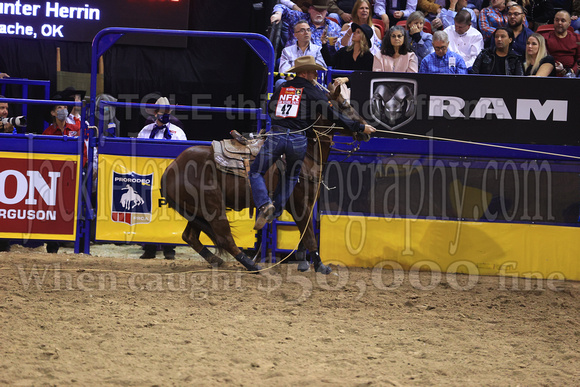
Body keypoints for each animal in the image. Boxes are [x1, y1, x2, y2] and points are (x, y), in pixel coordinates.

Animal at [160, 85, 368, 272]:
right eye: (344, 105)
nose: (366, 127)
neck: (307, 154)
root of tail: (171, 168)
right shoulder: (299, 204)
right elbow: (309, 236)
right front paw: (320, 266)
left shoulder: (307, 204)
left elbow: (304, 233)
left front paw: (304, 261)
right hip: (213, 207)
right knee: (224, 238)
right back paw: (250, 264)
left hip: (197, 211)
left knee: (190, 236)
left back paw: (217, 260)